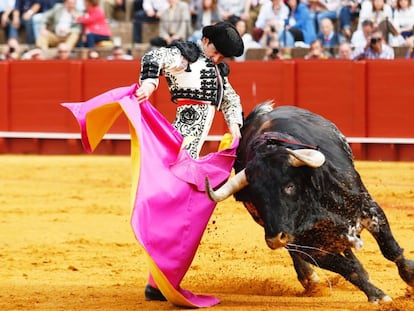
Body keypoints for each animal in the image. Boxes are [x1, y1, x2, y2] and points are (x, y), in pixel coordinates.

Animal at [206, 103, 414, 304]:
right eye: (255, 196)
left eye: (289, 186)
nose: (274, 240)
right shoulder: (306, 245)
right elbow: (347, 269)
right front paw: (377, 296)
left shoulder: (369, 209)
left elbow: (391, 250)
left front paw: (410, 277)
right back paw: (309, 279)